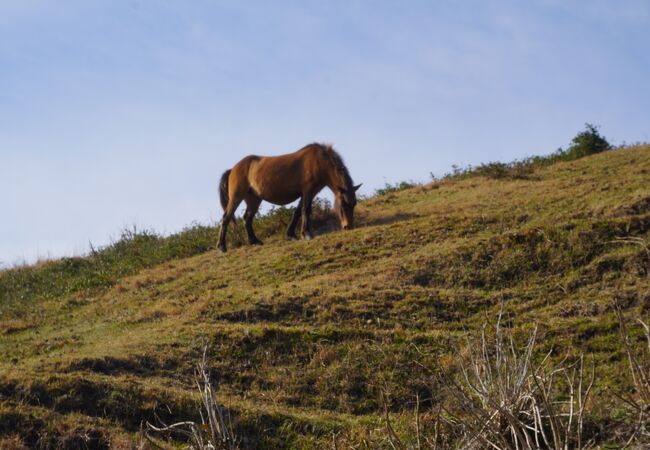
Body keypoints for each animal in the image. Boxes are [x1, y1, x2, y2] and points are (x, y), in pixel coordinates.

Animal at [216, 142, 360, 251]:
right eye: (343, 204)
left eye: (354, 204)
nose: (348, 227)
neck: (319, 162)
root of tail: (232, 169)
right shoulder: (308, 191)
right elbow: (306, 210)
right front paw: (306, 234)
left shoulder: (309, 193)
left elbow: (297, 212)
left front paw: (291, 234)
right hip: (236, 197)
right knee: (226, 217)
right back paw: (222, 246)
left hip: (254, 199)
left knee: (247, 218)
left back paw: (254, 241)